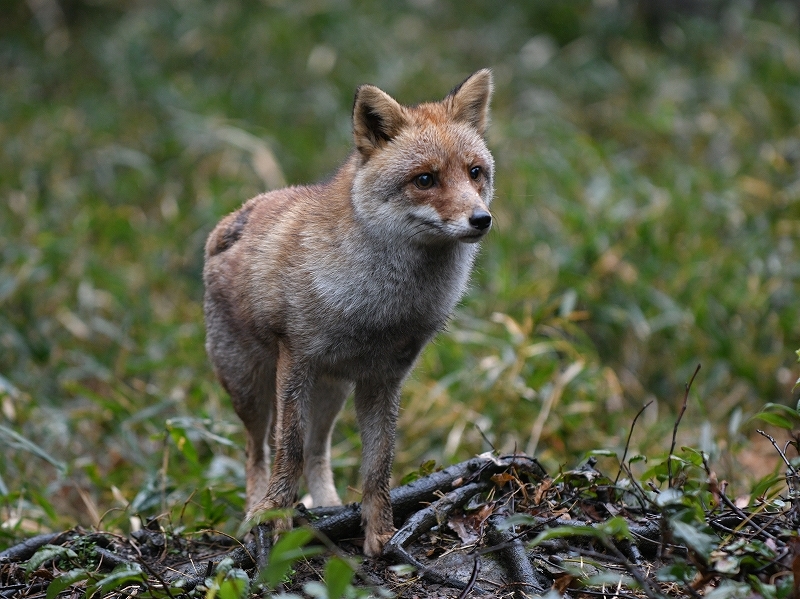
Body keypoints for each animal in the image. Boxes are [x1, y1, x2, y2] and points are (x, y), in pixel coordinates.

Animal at [203, 69, 494, 556]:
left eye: (475, 173)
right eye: (425, 179)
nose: (481, 219)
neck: (380, 310)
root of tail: (231, 220)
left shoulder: (384, 378)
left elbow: (378, 464)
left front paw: (379, 534)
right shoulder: (296, 361)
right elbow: (288, 451)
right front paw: (275, 518)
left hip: (331, 393)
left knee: (318, 452)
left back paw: (327, 508)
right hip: (250, 386)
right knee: (257, 451)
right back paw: (253, 513)